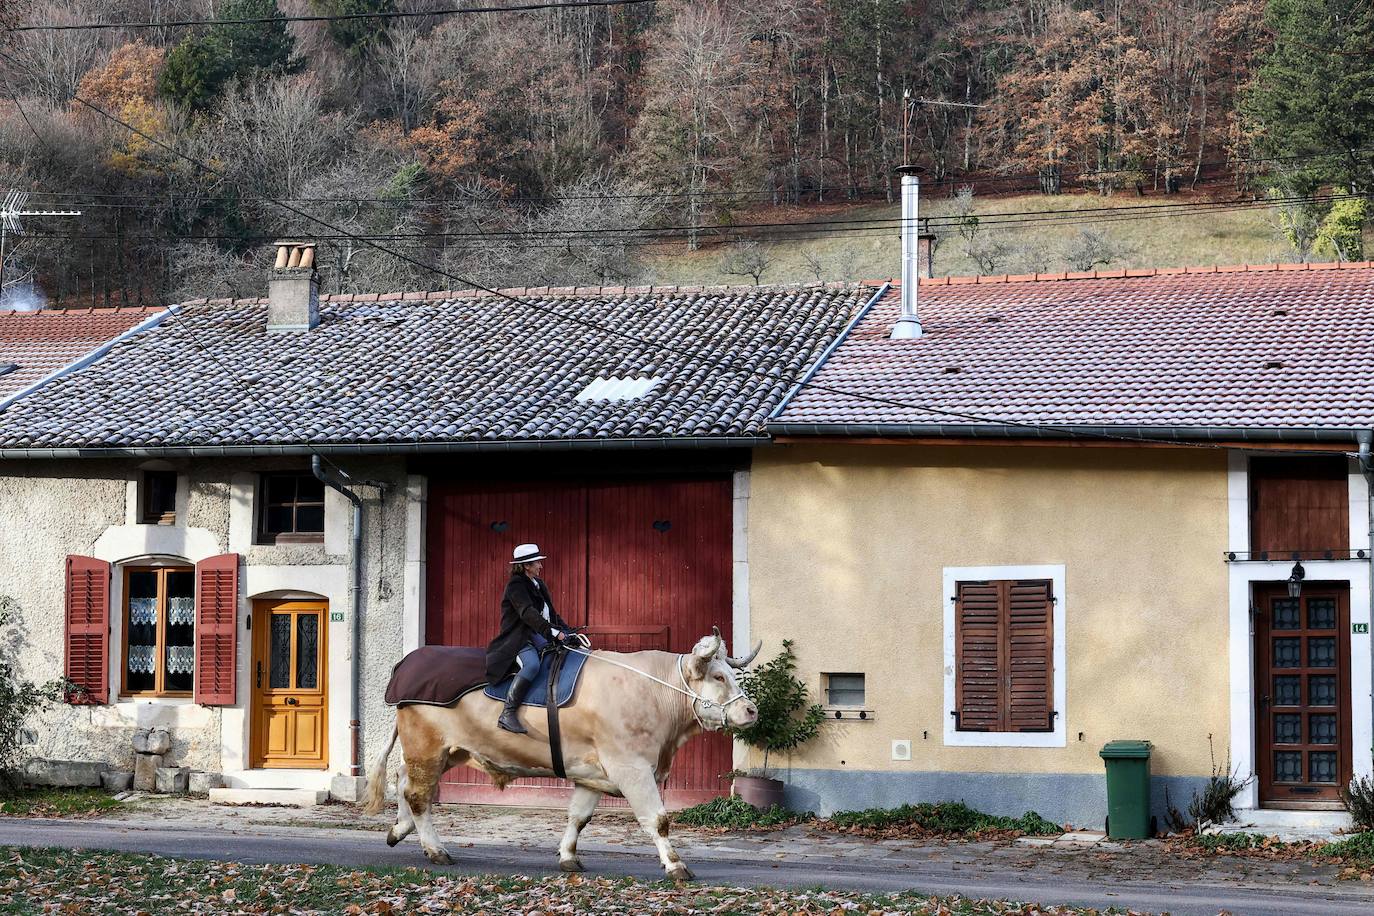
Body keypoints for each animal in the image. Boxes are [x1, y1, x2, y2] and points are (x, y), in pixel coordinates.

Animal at [359, 631, 763, 878]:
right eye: (718, 677)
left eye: (730, 673)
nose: (751, 711)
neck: (653, 690)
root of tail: (408, 663)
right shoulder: (632, 768)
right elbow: (658, 820)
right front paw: (676, 866)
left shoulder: (592, 773)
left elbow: (578, 817)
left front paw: (568, 857)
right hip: (426, 746)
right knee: (418, 794)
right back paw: (435, 849)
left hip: (447, 751)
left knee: (405, 783)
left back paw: (399, 829)